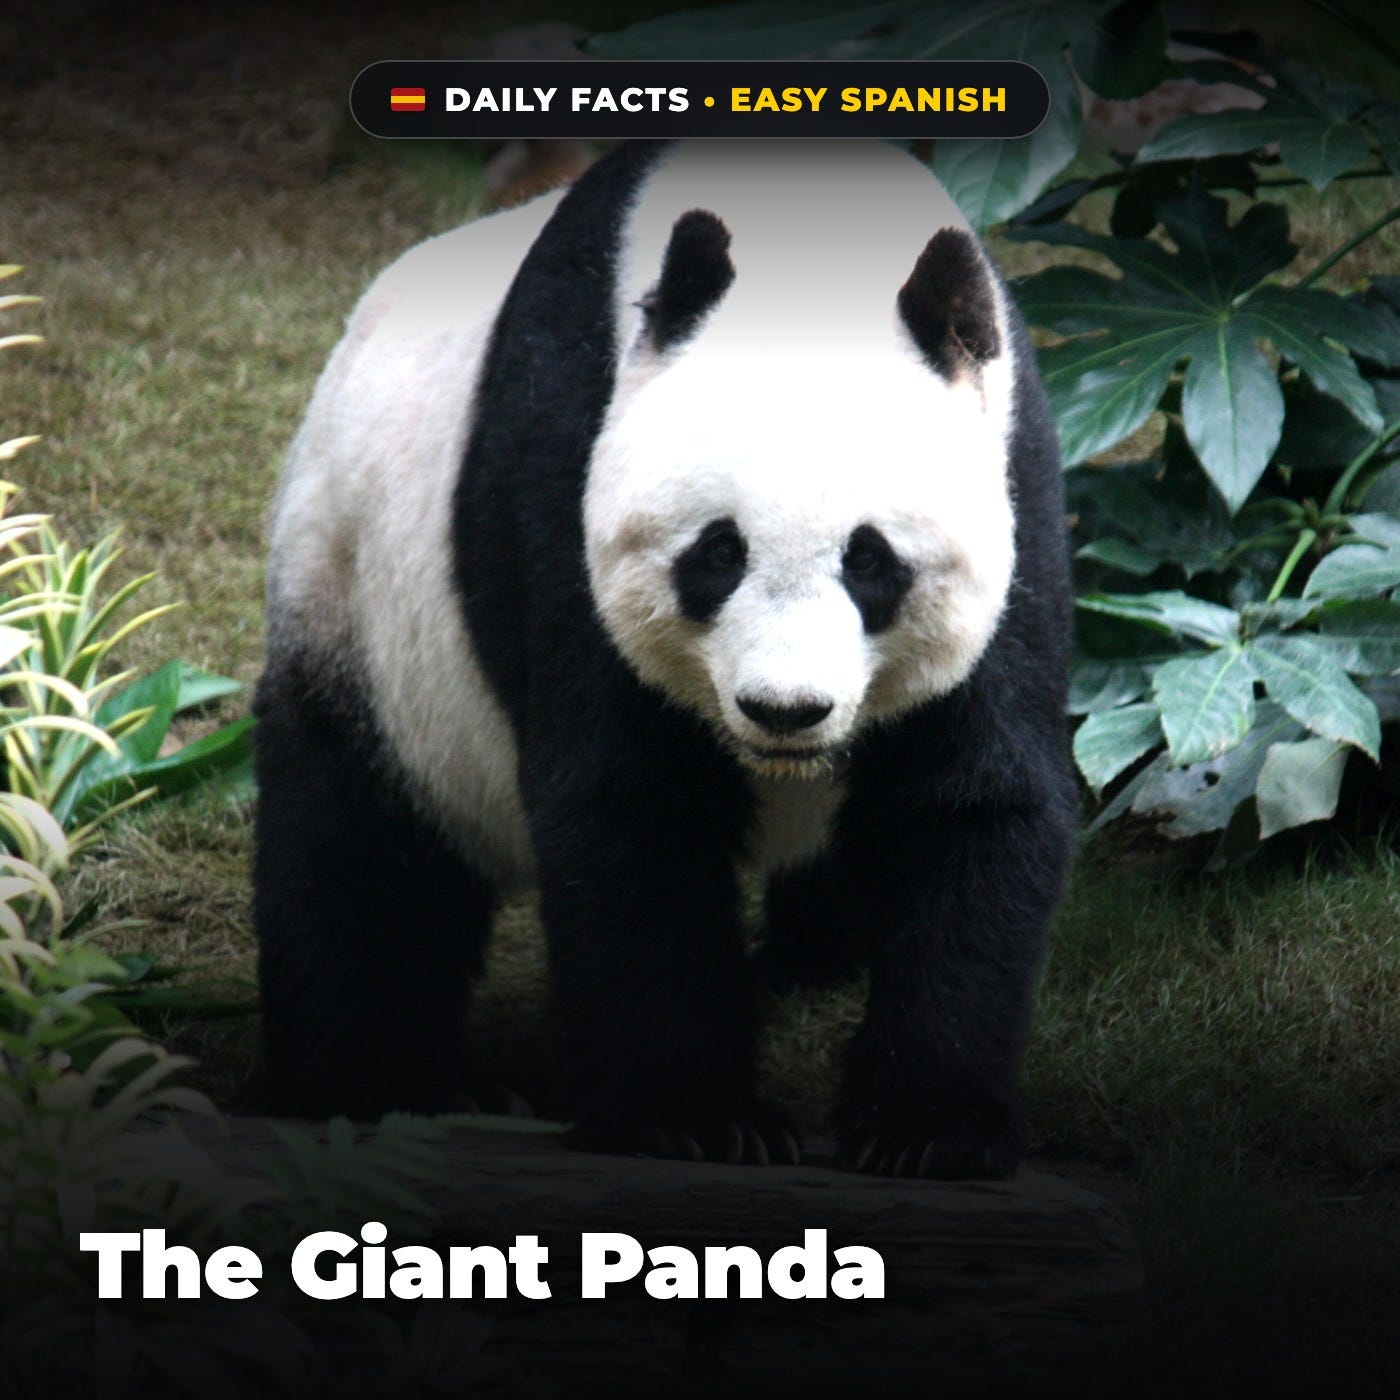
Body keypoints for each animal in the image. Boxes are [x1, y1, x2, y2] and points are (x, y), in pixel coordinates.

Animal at [254, 139, 1077, 1179]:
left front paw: (928, 1129)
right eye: (718, 554)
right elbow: (631, 805)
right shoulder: (564, 464)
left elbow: (971, 801)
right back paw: (375, 1085)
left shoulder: (1016, 488)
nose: (785, 710)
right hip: (360, 603)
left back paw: (812, 959)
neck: (808, 242)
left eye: (871, 561)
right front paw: (697, 1119)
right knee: (361, 849)